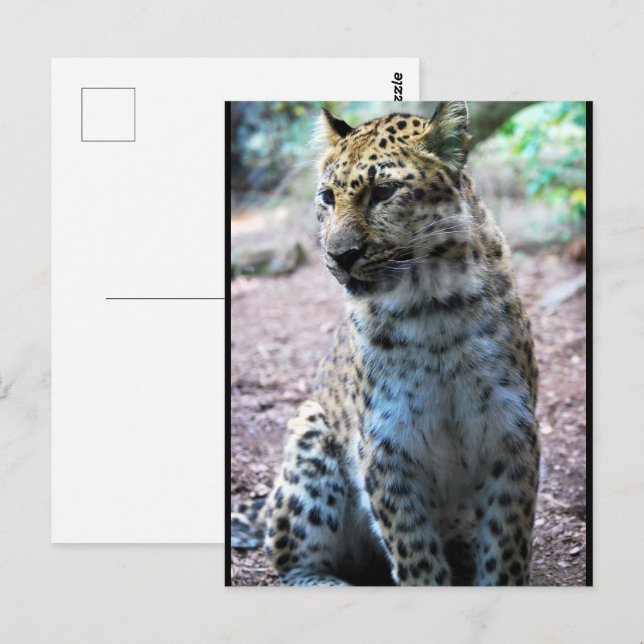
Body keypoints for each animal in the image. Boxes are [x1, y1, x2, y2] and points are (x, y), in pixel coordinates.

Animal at [232, 101, 540, 586]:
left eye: (384, 192)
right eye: (327, 197)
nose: (339, 256)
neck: (433, 310)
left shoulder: (512, 434)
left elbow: (506, 549)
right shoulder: (385, 448)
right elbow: (416, 557)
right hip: (309, 437)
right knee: (289, 561)